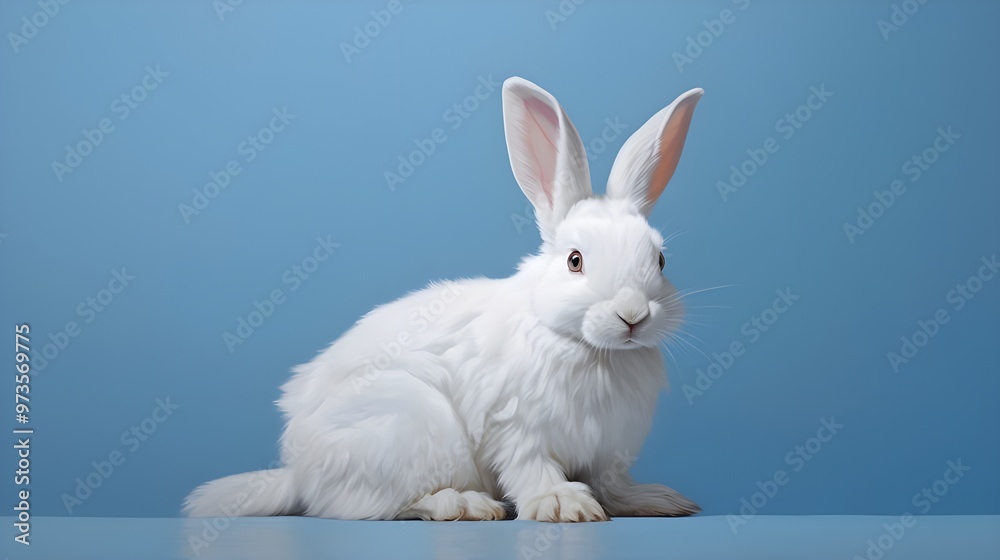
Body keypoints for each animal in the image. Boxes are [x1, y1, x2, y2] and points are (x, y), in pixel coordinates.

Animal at [184, 76, 703, 522]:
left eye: (660, 259)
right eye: (575, 261)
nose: (632, 315)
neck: (589, 349)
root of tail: (299, 473)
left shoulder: (608, 452)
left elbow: (612, 485)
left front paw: (657, 500)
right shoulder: (516, 429)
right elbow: (532, 470)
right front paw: (563, 505)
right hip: (414, 429)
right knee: (384, 506)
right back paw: (466, 505)